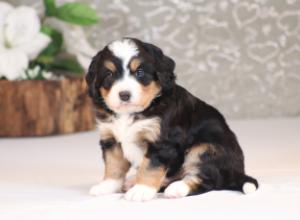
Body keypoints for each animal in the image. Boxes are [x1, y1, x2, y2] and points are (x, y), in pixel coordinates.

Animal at [85, 37, 258, 201]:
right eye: (109, 74)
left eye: (140, 72)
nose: (124, 95)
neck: (132, 113)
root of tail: (238, 173)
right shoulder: (111, 140)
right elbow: (113, 165)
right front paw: (107, 186)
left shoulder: (163, 142)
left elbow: (150, 167)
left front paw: (141, 190)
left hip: (207, 148)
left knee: (208, 180)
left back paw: (176, 188)